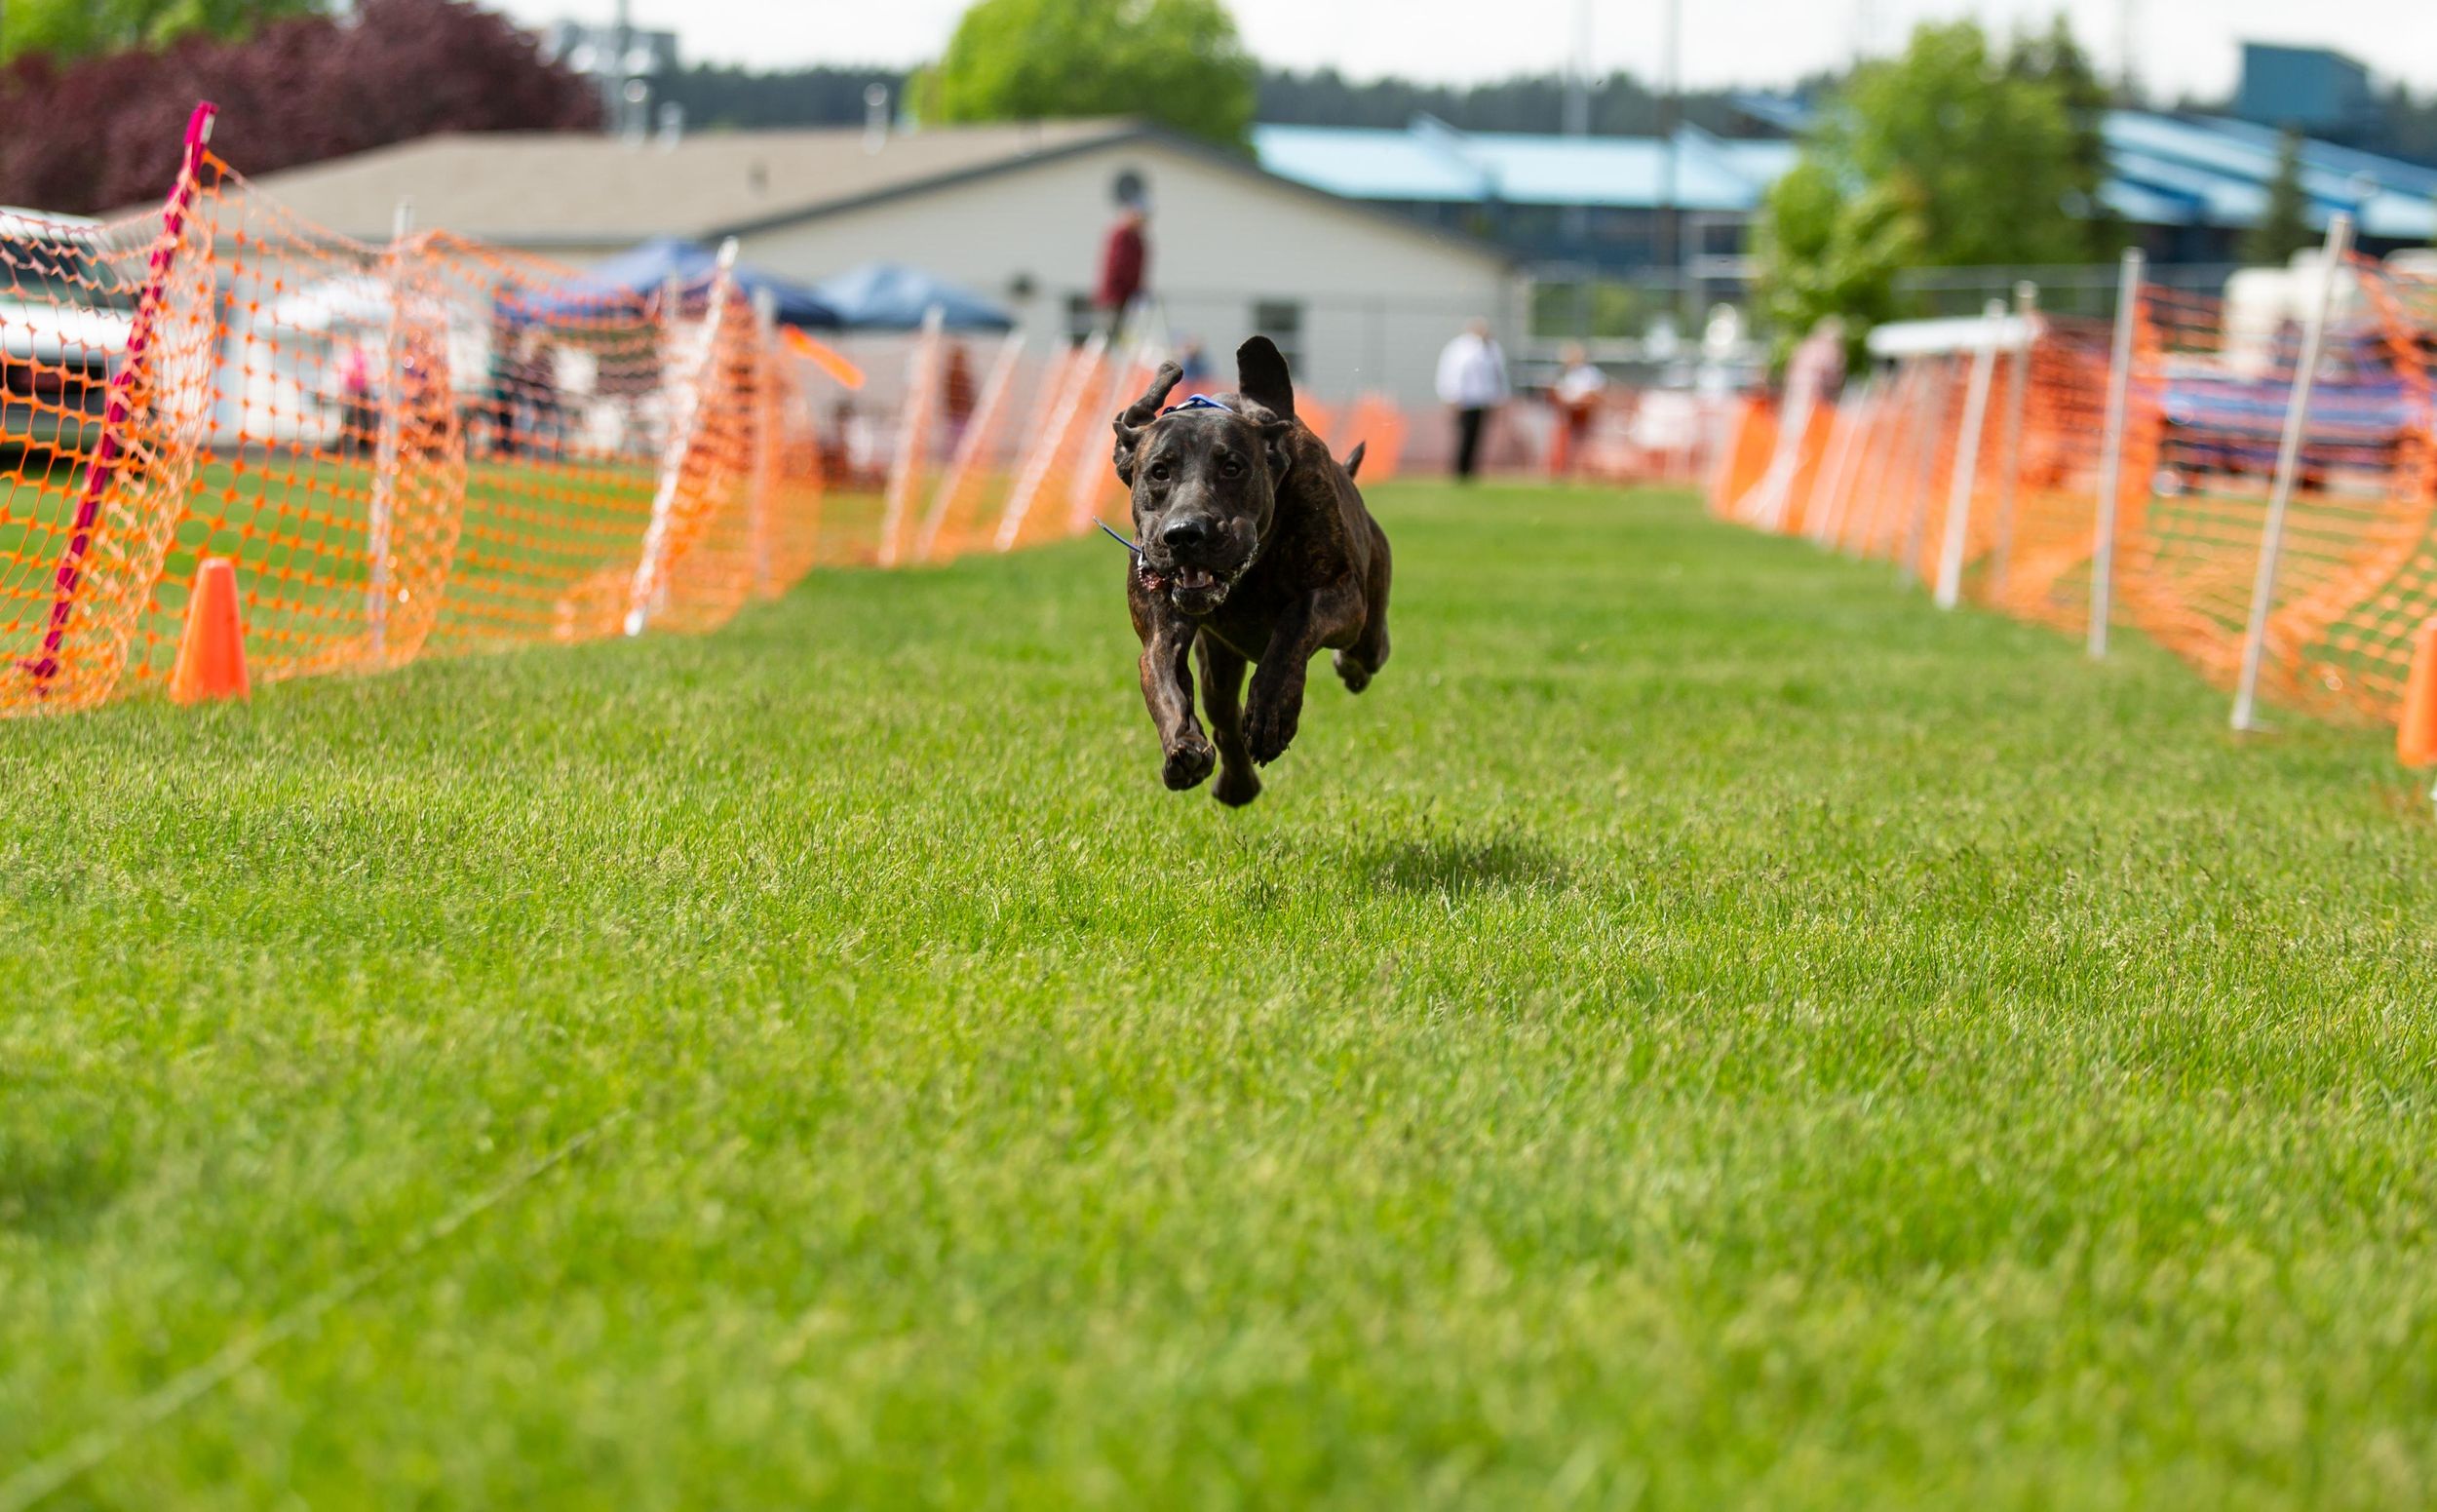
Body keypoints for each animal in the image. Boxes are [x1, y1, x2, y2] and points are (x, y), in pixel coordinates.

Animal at [1111, 331, 1394, 804]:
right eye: (1158, 472)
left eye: (1232, 467)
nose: (1185, 533)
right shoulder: (1161, 624)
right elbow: (1163, 676)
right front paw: (1183, 745)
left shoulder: (1342, 593)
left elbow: (1297, 622)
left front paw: (1271, 712)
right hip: (1218, 661)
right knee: (1223, 714)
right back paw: (1237, 784)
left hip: (1368, 616)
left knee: (1369, 649)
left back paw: (1349, 668)